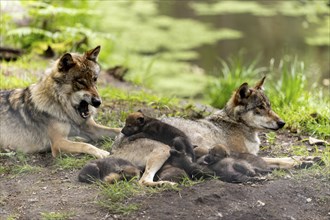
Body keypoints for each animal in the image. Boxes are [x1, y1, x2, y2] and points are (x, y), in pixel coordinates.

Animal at [111, 77, 318, 186]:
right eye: (260, 107)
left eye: (269, 106)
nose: (282, 123)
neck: (237, 125)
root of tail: (114, 149)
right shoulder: (243, 155)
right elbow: (279, 160)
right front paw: (304, 161)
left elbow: (281, 159)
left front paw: (308, 159)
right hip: (162, 149)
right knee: (144, 181)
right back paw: (166, 184)